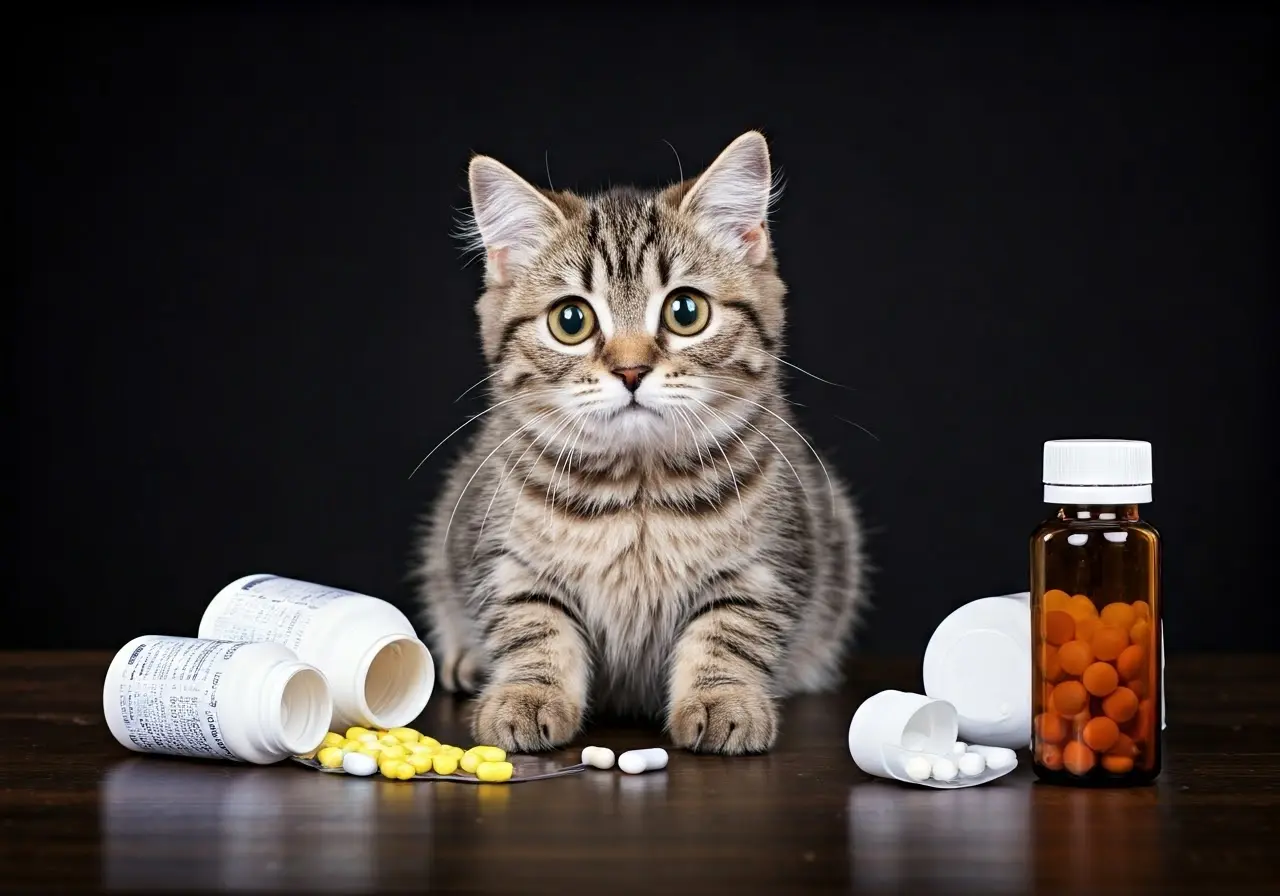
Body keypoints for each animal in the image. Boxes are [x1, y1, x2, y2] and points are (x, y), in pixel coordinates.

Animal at [414, 129, 865, 752]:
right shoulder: (509, 559)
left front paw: (724, 699)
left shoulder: (768, 561)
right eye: (571, 321)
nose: (630, 370)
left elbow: (732, 629)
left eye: (685, 311)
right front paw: (526, 693)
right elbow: (532, 624)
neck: (637, 490)